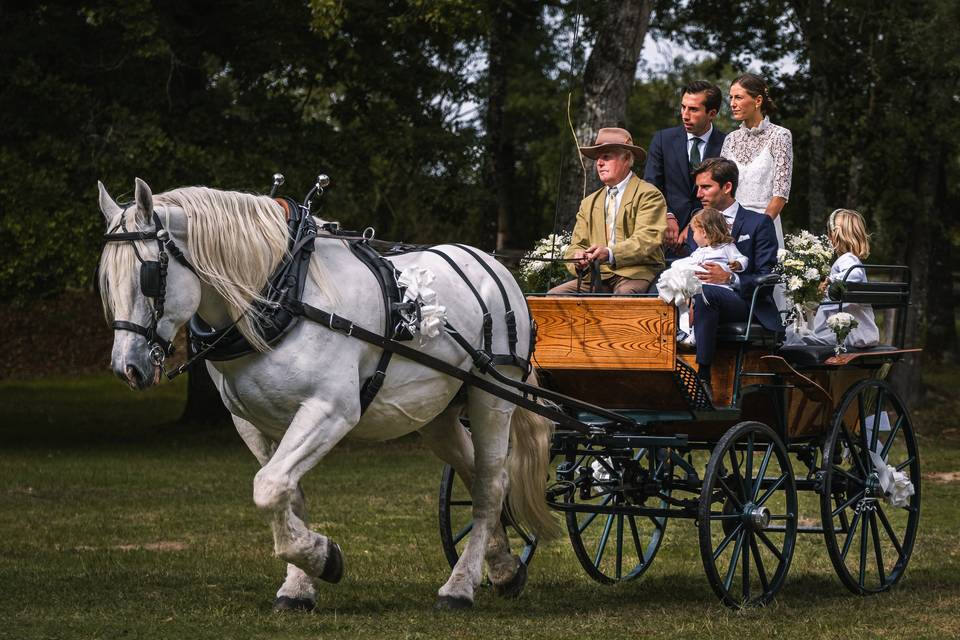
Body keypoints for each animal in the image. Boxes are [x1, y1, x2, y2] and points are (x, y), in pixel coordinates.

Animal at [94, 178, 560, 612]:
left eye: (148, 277)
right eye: (106, 283)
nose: (127, 368)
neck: (285, 291)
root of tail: (495, 266)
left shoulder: (330, 410)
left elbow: (268, 486)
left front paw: (324, 558)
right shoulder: (253, 423)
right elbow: (286, 493)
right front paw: (300, 584)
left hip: (494, 396)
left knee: (490, 485)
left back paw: (460, 587)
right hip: (437, 413)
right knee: (479, 476)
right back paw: (503, 568)